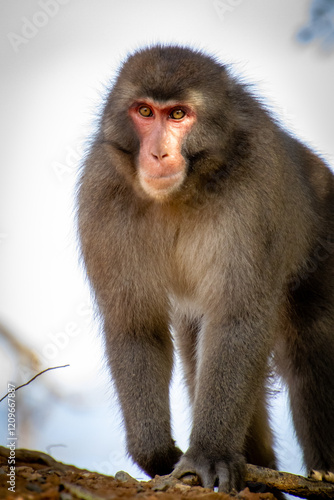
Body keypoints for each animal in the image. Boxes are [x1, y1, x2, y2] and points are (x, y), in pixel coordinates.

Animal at [77, 44, 334, 492]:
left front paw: (210, 454)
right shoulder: (102, 197)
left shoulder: (254, 193)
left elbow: (238, 318)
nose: (158, 153)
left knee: (310, 339)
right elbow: (136, 325)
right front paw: (157, 453)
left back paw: (323, 469)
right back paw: (260, 471)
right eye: (145, 112)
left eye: (178, 115)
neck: (183, 193)